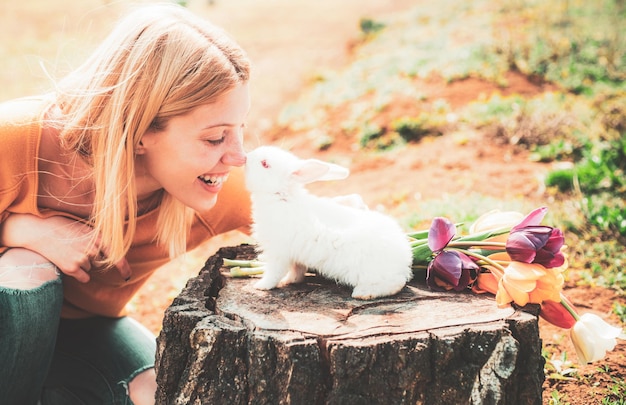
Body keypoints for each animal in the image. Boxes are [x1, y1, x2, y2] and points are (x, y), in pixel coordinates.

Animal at [244, 146, 414, 300]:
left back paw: (363, 293)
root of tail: (404, 258)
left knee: (394, 284)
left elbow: (274, 272)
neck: (281, 196)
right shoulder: (296, 256)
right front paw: (290, 281)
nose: (246, 156)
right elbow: (297, 270)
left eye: (265, 163)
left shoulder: (278, 252)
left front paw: (261, 286)